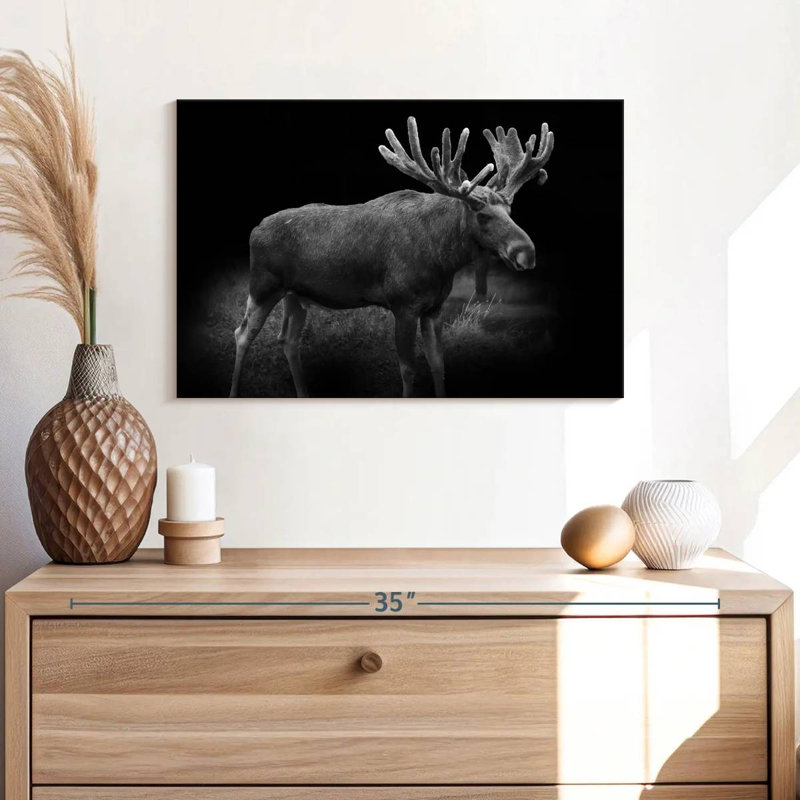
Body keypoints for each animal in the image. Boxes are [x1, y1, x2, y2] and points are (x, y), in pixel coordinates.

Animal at [229, 116, 554, 398]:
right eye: (482, 214)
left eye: (510, 211)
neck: (442, 260)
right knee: (242, 333)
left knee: (288, 340)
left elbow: (438, 363)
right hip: (263, 286)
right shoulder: (403, 304)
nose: (527, 253)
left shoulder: (434, 308)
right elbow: (408, 369)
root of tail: (255, 230)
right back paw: (235, 392)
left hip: (295, 295)